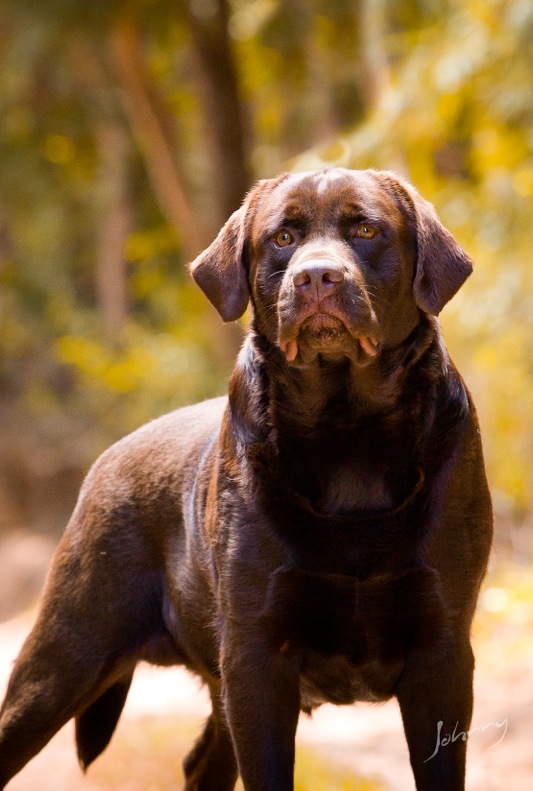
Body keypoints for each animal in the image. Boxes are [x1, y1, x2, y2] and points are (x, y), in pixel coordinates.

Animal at [0, 169, 490, 791]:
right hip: (64, 658)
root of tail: (106, 459)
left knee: (199, 764)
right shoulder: (256, 658)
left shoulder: (443, 651)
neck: (347, 432)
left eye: (365, 230)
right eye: (282, 238)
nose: (318, 276)